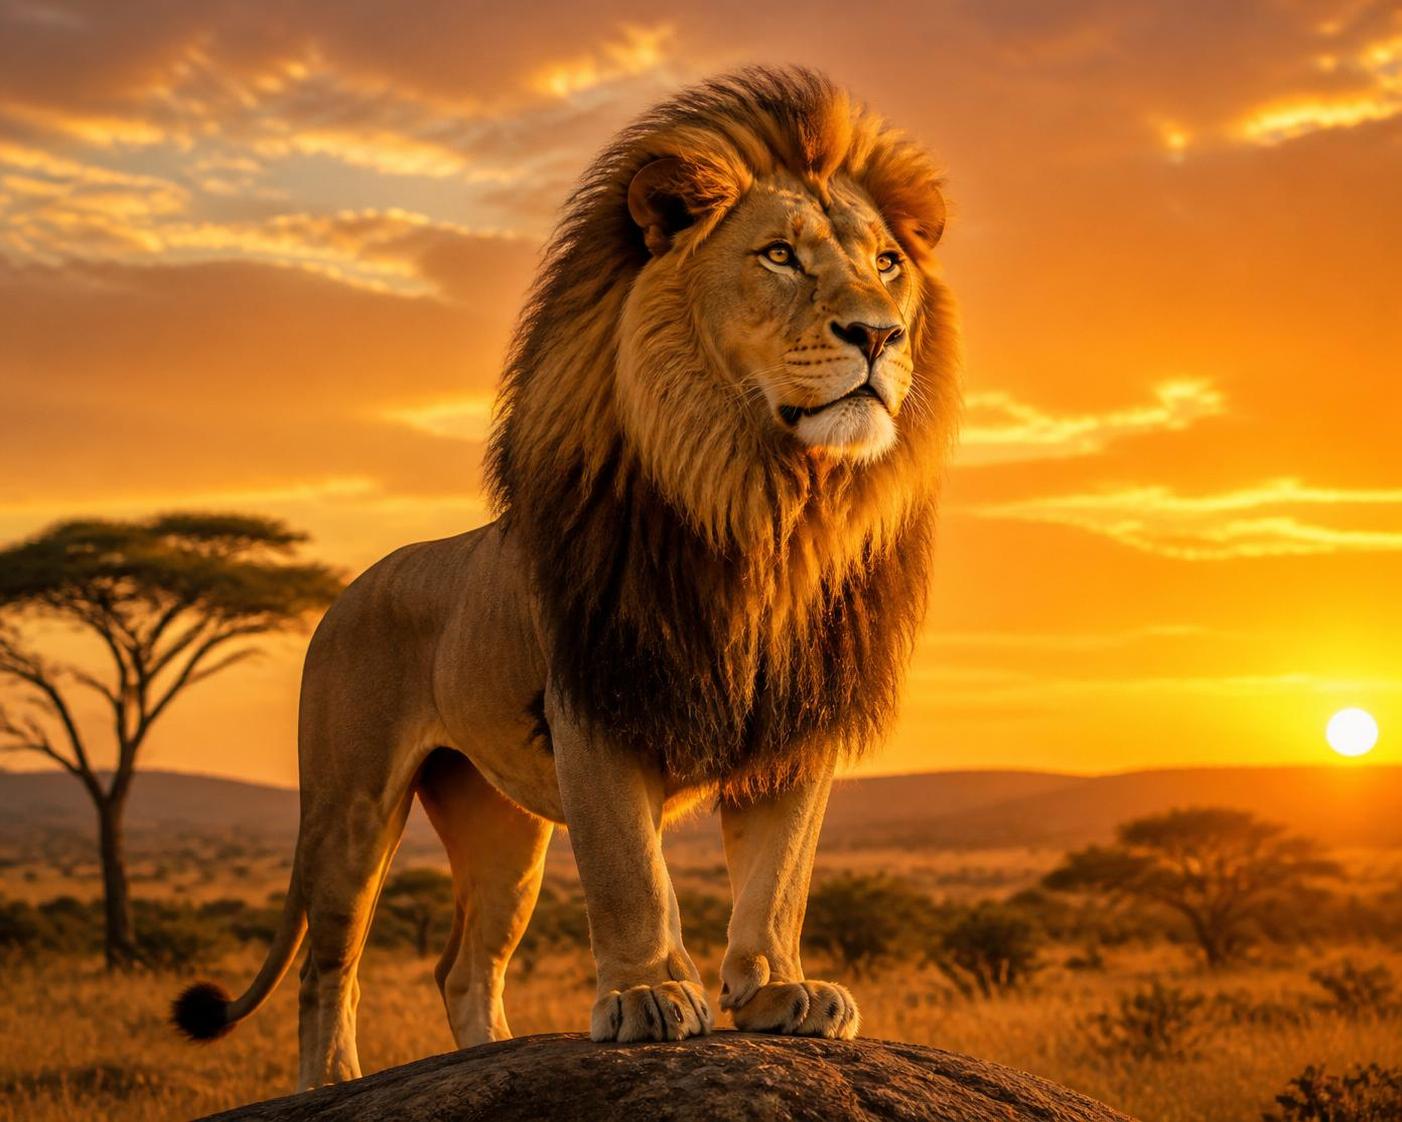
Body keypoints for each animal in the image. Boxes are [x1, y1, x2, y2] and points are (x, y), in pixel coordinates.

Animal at [172, 65, 959, 1090]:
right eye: (780, 255)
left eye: (889, 262)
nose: (880, 335)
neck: (769, 505)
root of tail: (351, 587)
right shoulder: (599, 696)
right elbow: (632, 871)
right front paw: (648, 995)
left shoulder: (797, 719)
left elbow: (780, 874)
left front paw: (781, 992)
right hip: (351, 805)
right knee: (328, 962)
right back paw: (334, 1080)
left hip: (503, 828)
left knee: (464, 964)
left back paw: (495, 1058)